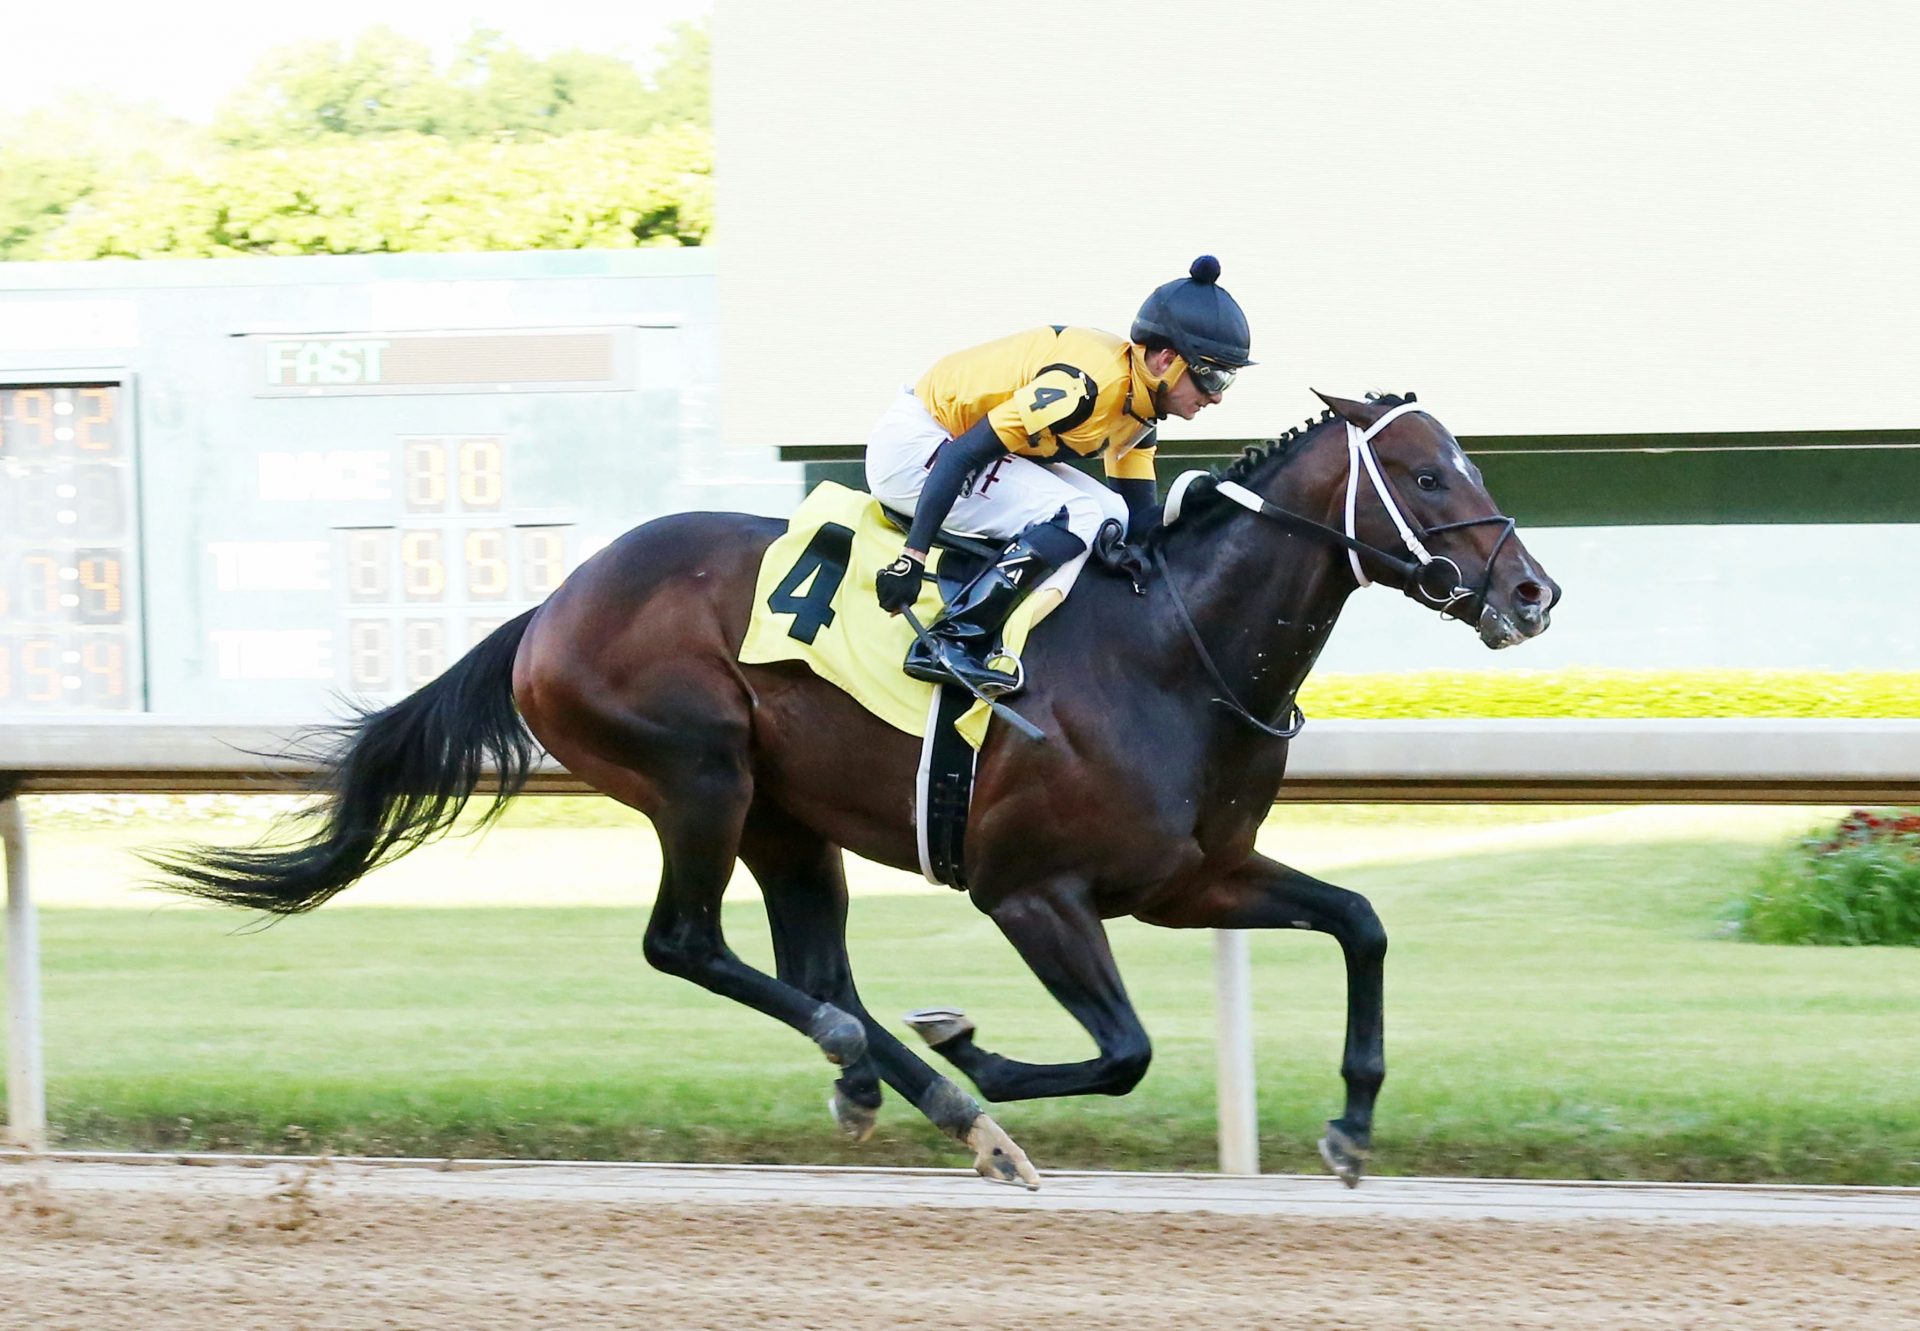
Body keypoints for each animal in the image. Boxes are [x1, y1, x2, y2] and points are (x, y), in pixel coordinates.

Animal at [153, 391, 1559, 1183]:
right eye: (1426, 475)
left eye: (1473, 463)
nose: (1533, 591)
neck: (1172, 647)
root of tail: (549, 605)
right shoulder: (1031, 891)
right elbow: (1124, 1051)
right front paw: (977, 1050)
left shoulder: (1192, 876)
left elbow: (1361, 922)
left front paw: (1354, 1127)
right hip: (698, 771)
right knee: (689, 943)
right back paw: (917, 1080)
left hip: (787, 814)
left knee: (816, 967)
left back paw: (911, 1091)